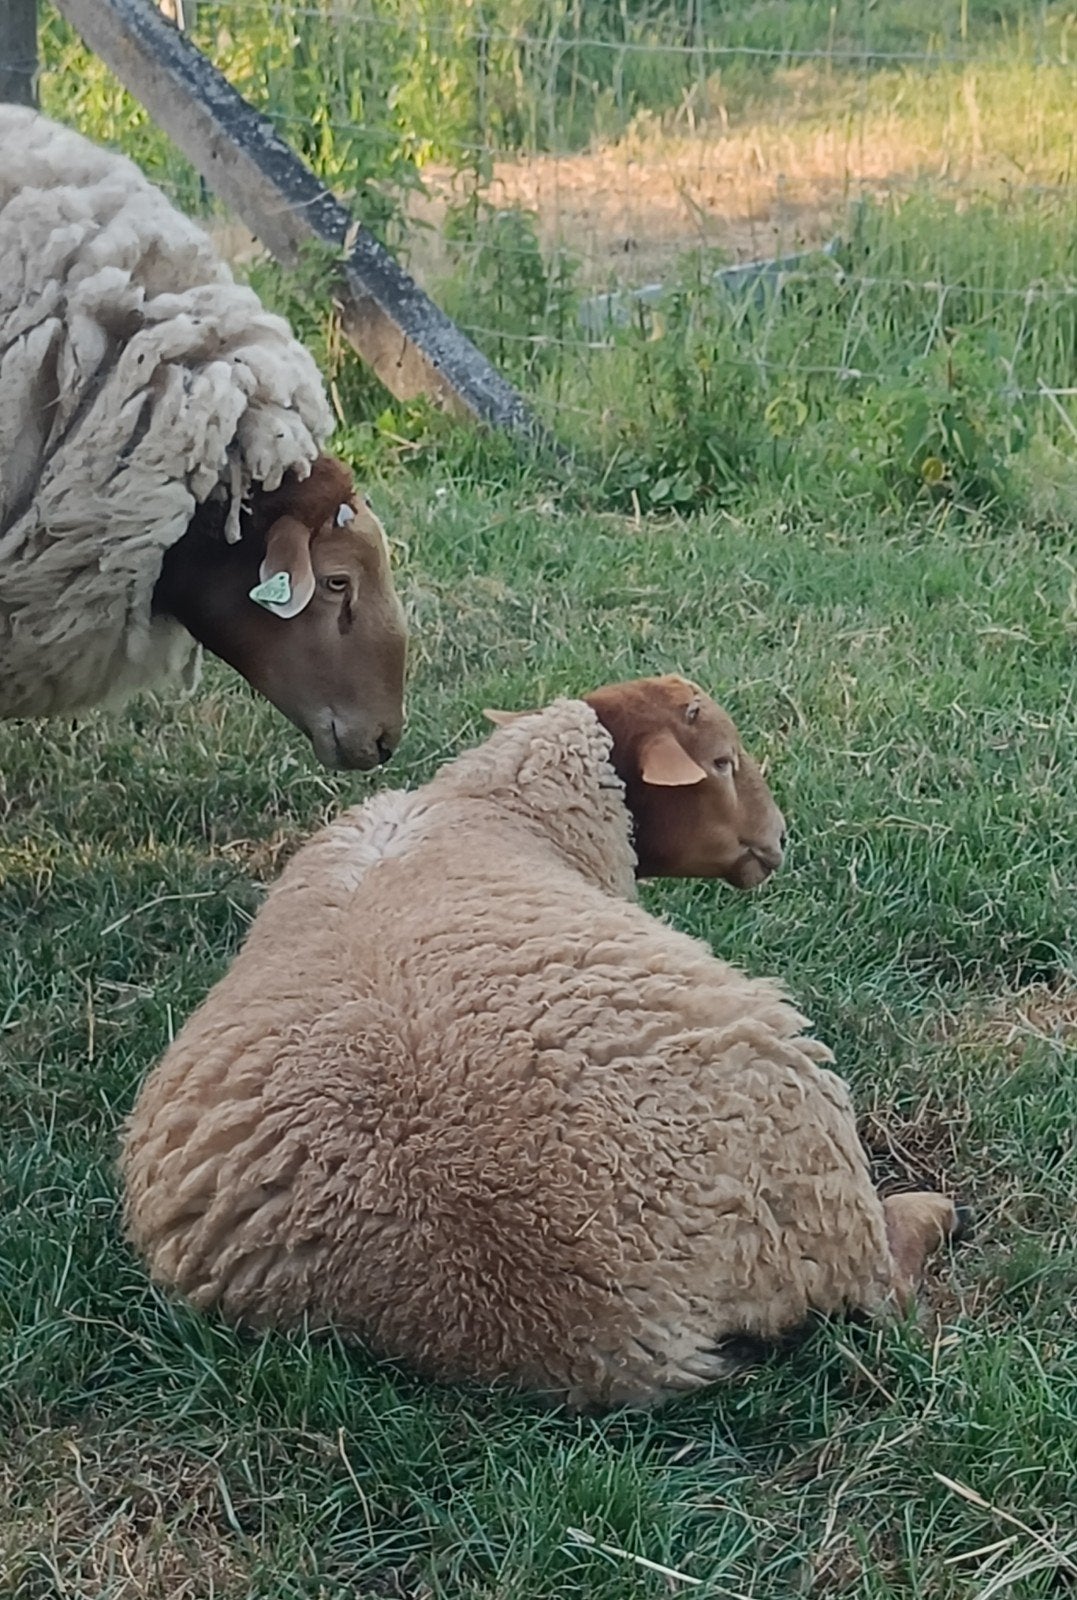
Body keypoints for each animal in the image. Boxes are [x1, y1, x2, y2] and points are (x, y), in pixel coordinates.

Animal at [121, 674, 961, 1410]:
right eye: (721, 761)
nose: (778, 838)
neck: (496, 803)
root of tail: (604, 1330)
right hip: (805, 1155)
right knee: (880, 1280)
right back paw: (932, 1209)